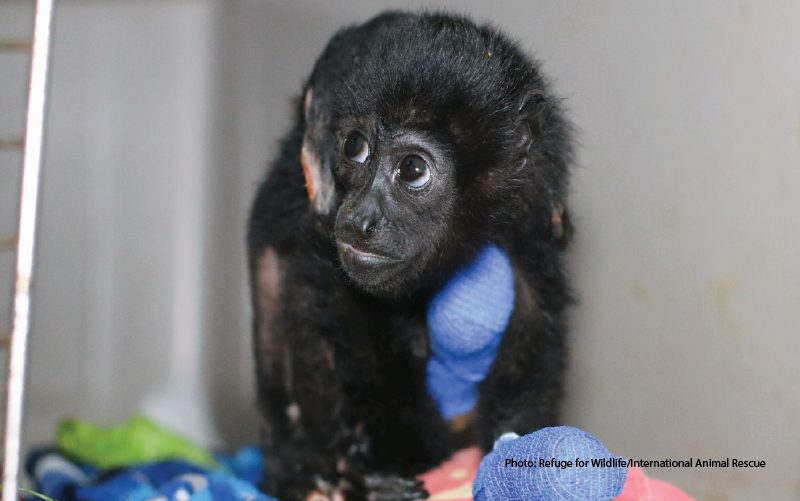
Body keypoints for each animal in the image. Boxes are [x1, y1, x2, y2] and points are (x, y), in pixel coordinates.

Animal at [247, 8, 572, 500]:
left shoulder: (534, 198)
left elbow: (535, 312)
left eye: (414, 170)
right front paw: (401, 451)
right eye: (355, 147)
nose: (358, 218)